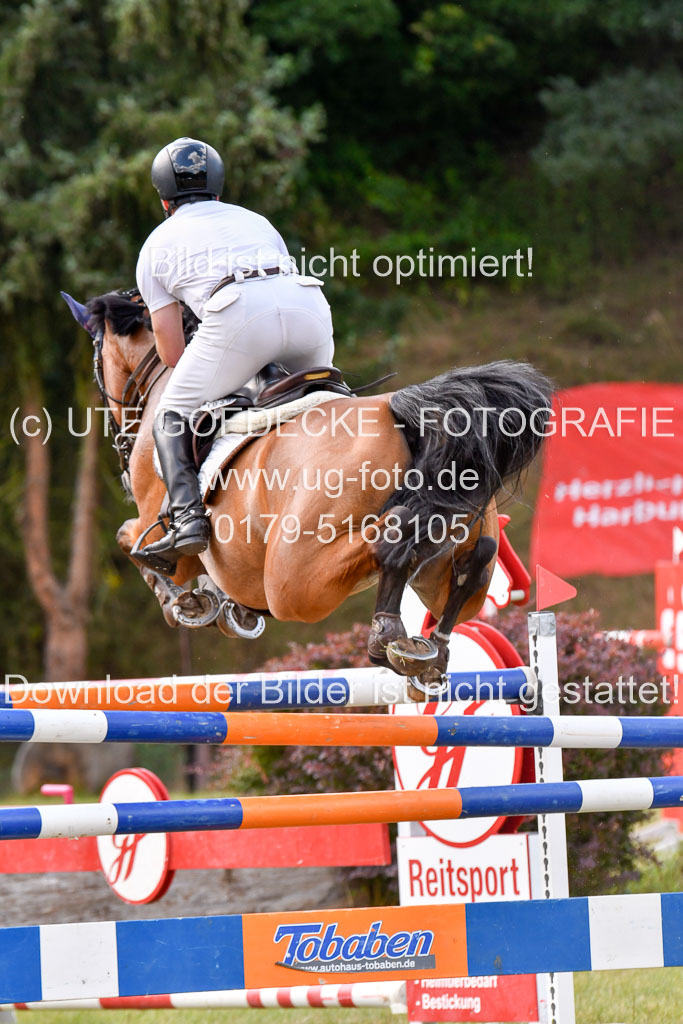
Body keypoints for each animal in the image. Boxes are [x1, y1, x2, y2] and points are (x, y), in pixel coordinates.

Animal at [80, 289, 553, 696]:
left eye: (98, 362)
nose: (121, 454)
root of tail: (398, 409)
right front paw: (227, 608)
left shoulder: (159, 531)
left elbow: (131, 541)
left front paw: (189, 603)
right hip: (445, 563)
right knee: (468, 563)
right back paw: (424, 652)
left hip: (294, 582)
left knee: (389, 539)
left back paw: (388, 633)